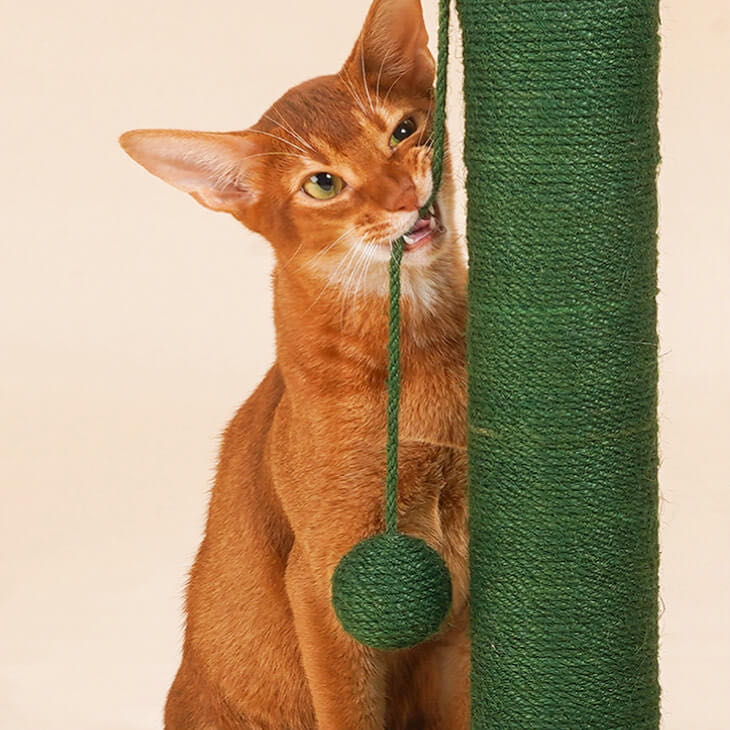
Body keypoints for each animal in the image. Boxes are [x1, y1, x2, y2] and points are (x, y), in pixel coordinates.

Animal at [121, 0, 466, 724]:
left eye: (403, 131)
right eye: (323, 183)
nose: (404, 195)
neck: (419, 356)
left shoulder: (458, 612)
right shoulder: (326, 585)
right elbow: (349, 713)